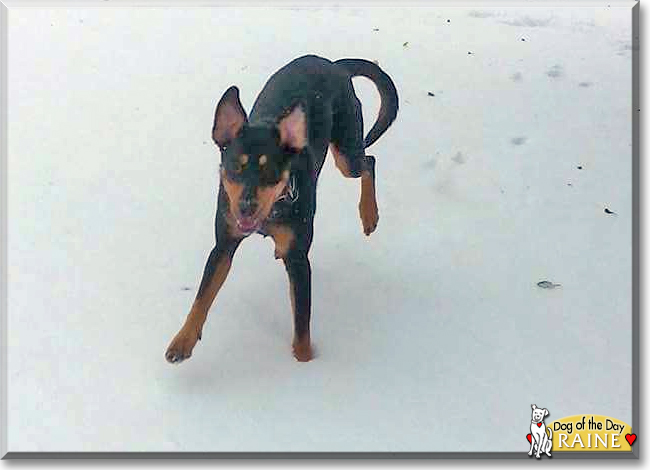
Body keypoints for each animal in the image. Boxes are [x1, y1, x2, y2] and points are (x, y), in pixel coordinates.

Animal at [165, 55, 398, 364]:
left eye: (271, 173)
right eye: (234, 167)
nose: (246, 207)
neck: (270, 214)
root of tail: (333, 64)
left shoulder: (299, 259)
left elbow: (301, 323)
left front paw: (305, 364)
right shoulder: (223, 244)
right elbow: (202, 296)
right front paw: (182, 342)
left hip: (347, 152)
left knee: (369, 162)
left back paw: (369, 215)